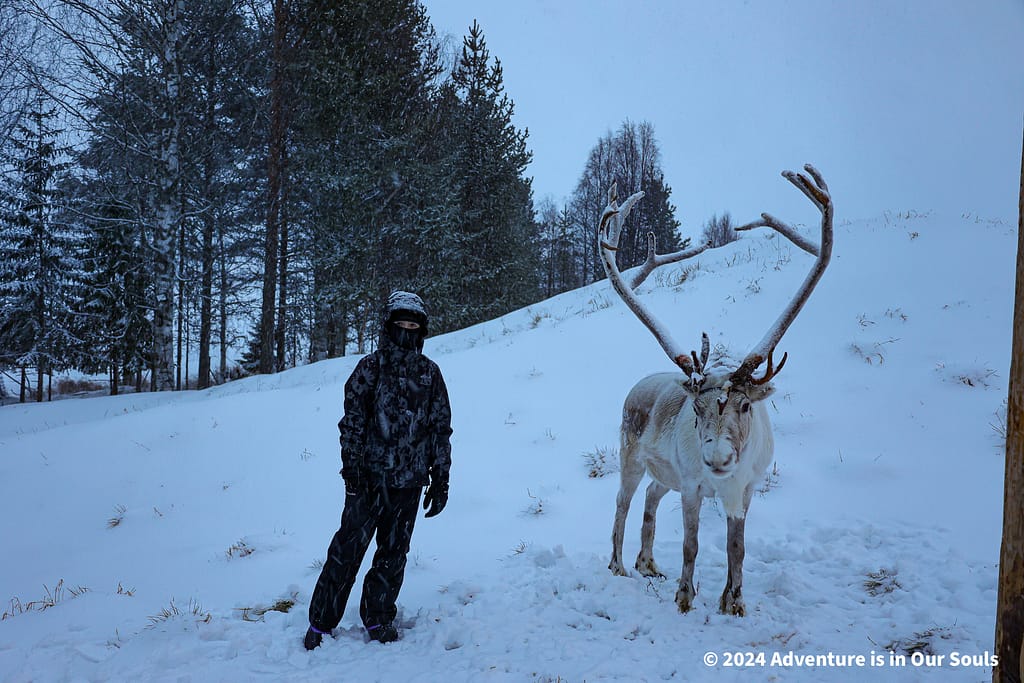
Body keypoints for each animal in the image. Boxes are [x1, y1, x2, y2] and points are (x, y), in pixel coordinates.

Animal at [601, 164, 833, 616]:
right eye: (695, 409)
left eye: (744, 406)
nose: (717, 459)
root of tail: (637, 385)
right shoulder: (692, 486)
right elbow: (690, 546)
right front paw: (685, 597)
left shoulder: (745, 487)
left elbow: (736, 548)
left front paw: (734, 602)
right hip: (630, 456)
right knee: (622, 503)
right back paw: (618, 565)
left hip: (666, 473)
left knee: (652, 497)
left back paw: (648, 563)